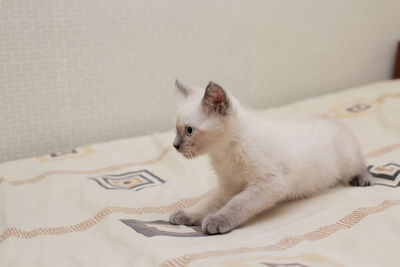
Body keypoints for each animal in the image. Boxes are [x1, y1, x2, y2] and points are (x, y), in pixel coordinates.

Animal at [170, 80, 376, 236]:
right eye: (176, 129)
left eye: (189, 131)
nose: (175, 146)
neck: (223, 151)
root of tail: (331, 119)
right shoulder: (229, 187)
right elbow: (206, 204)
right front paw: (185, 216)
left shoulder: (268, 184)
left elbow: (236, 205)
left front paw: (216, 221)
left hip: (347, 160)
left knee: (360, 164)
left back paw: (363, 179)